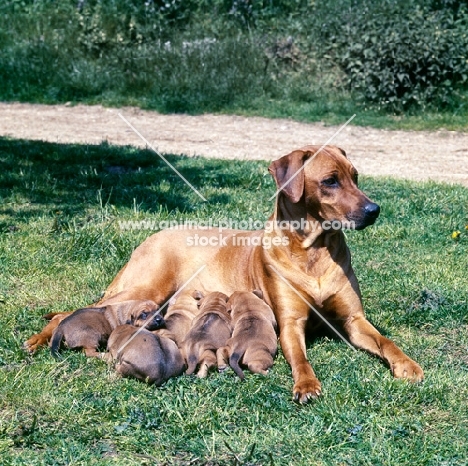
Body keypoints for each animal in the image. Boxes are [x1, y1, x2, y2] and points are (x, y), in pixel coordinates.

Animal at [25, 147, 424, 404]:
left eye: (355, 177)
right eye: (330, 181)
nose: (374, 210)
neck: (313, 251)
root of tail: (152, 235)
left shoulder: (354, 320)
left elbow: (385, 340)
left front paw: (407, 364)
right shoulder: (290, 323)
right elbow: (300, 357)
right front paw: (306, 384)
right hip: (146, 288)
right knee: (69, 313)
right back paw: (37, 340)